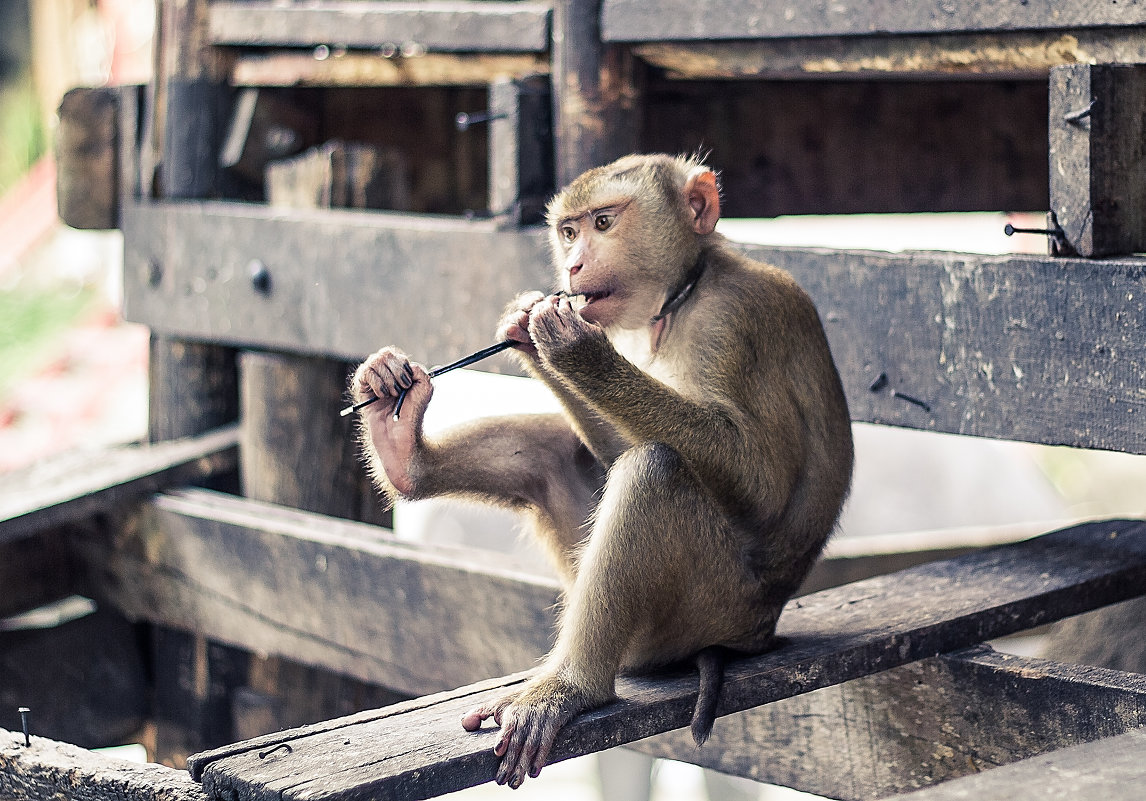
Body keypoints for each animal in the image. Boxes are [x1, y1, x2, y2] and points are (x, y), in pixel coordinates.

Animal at [352, 154, 857, 788]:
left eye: (603, 222)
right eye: (569, 232)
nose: (572, 266)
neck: (682, 296)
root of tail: (756, 634)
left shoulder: (737, 321)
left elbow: (760, 484)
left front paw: (574, 349)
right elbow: (606, 447)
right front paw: (526, 332)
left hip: (702, 613)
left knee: (654, 472)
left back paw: (572, 688)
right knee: (553, 453)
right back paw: (403, 456)